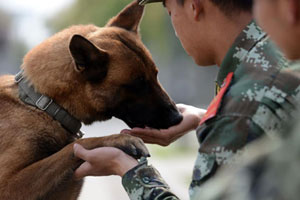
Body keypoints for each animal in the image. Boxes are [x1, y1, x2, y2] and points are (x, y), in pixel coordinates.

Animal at [0, 1, 183, 200]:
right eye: (138, 84)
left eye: (155, 75)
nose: (178, 118)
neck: (44, 105)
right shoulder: (9, 185)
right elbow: (77, 144)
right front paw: (119, 139)